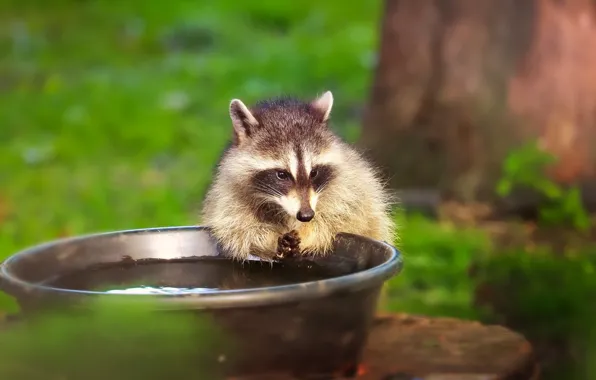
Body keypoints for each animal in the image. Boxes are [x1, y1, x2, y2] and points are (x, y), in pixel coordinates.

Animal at [200, 91, 396, 262]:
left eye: (314, 172)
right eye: (281, 175)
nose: (306, 215)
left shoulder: (351, 182)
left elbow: (345, 216)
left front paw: (309, 233)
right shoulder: (228, 192)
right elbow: (237, 229)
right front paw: (269, 239)